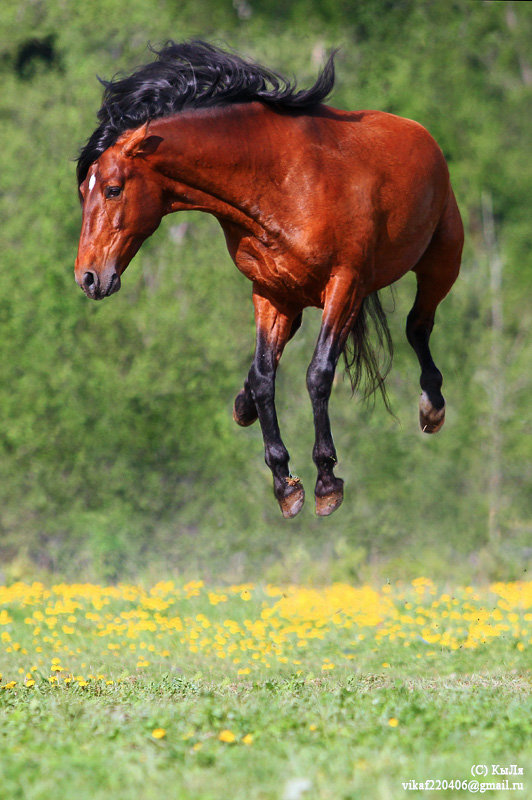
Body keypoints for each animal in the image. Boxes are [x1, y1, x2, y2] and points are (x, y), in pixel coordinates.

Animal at [74, 40, 462, 520]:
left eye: (112, 189)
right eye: (83, 190)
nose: (88, 276)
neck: (282, 180)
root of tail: (423, 136)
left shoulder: (345, 283)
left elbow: (318, 374)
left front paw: (326, 481)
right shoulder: (270, 292)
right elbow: (263, 377)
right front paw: (285, 484)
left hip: (441, 260)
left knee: (418, 326)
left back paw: (433, 408)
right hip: (300, 299)